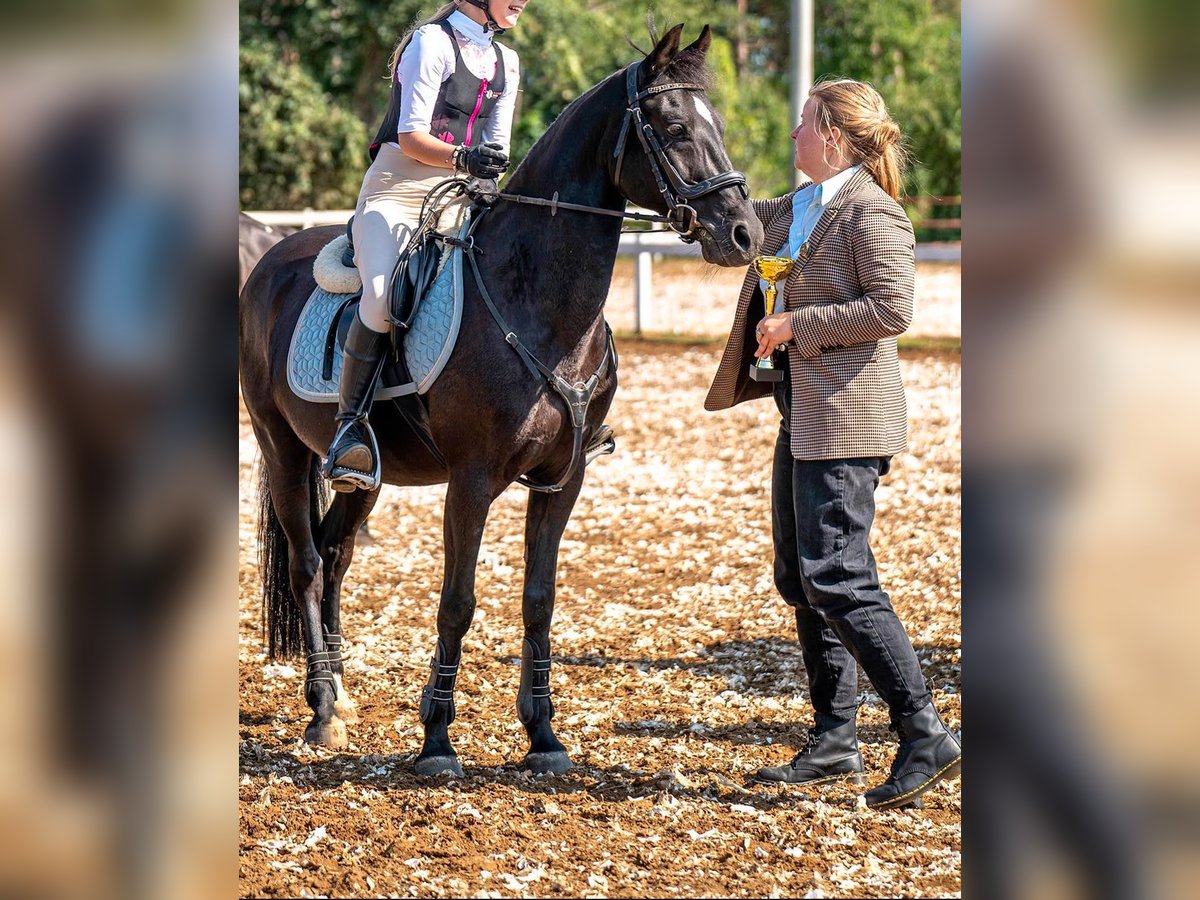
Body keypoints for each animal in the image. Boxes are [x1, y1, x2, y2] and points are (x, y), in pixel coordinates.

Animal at [240, 24, 763, 777]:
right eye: (672, 128)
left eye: (716, 124)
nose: (746, 234)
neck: (537, 305)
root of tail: (270, 263)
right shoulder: (473, 479)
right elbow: (457, 602)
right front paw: (436, 741)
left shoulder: (561, 480)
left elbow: (539, 600)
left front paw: (543, 735)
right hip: (281, 448)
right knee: (307, 564)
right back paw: (321, 711)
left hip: (366, 474)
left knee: (336, 556)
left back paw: (340, 693)